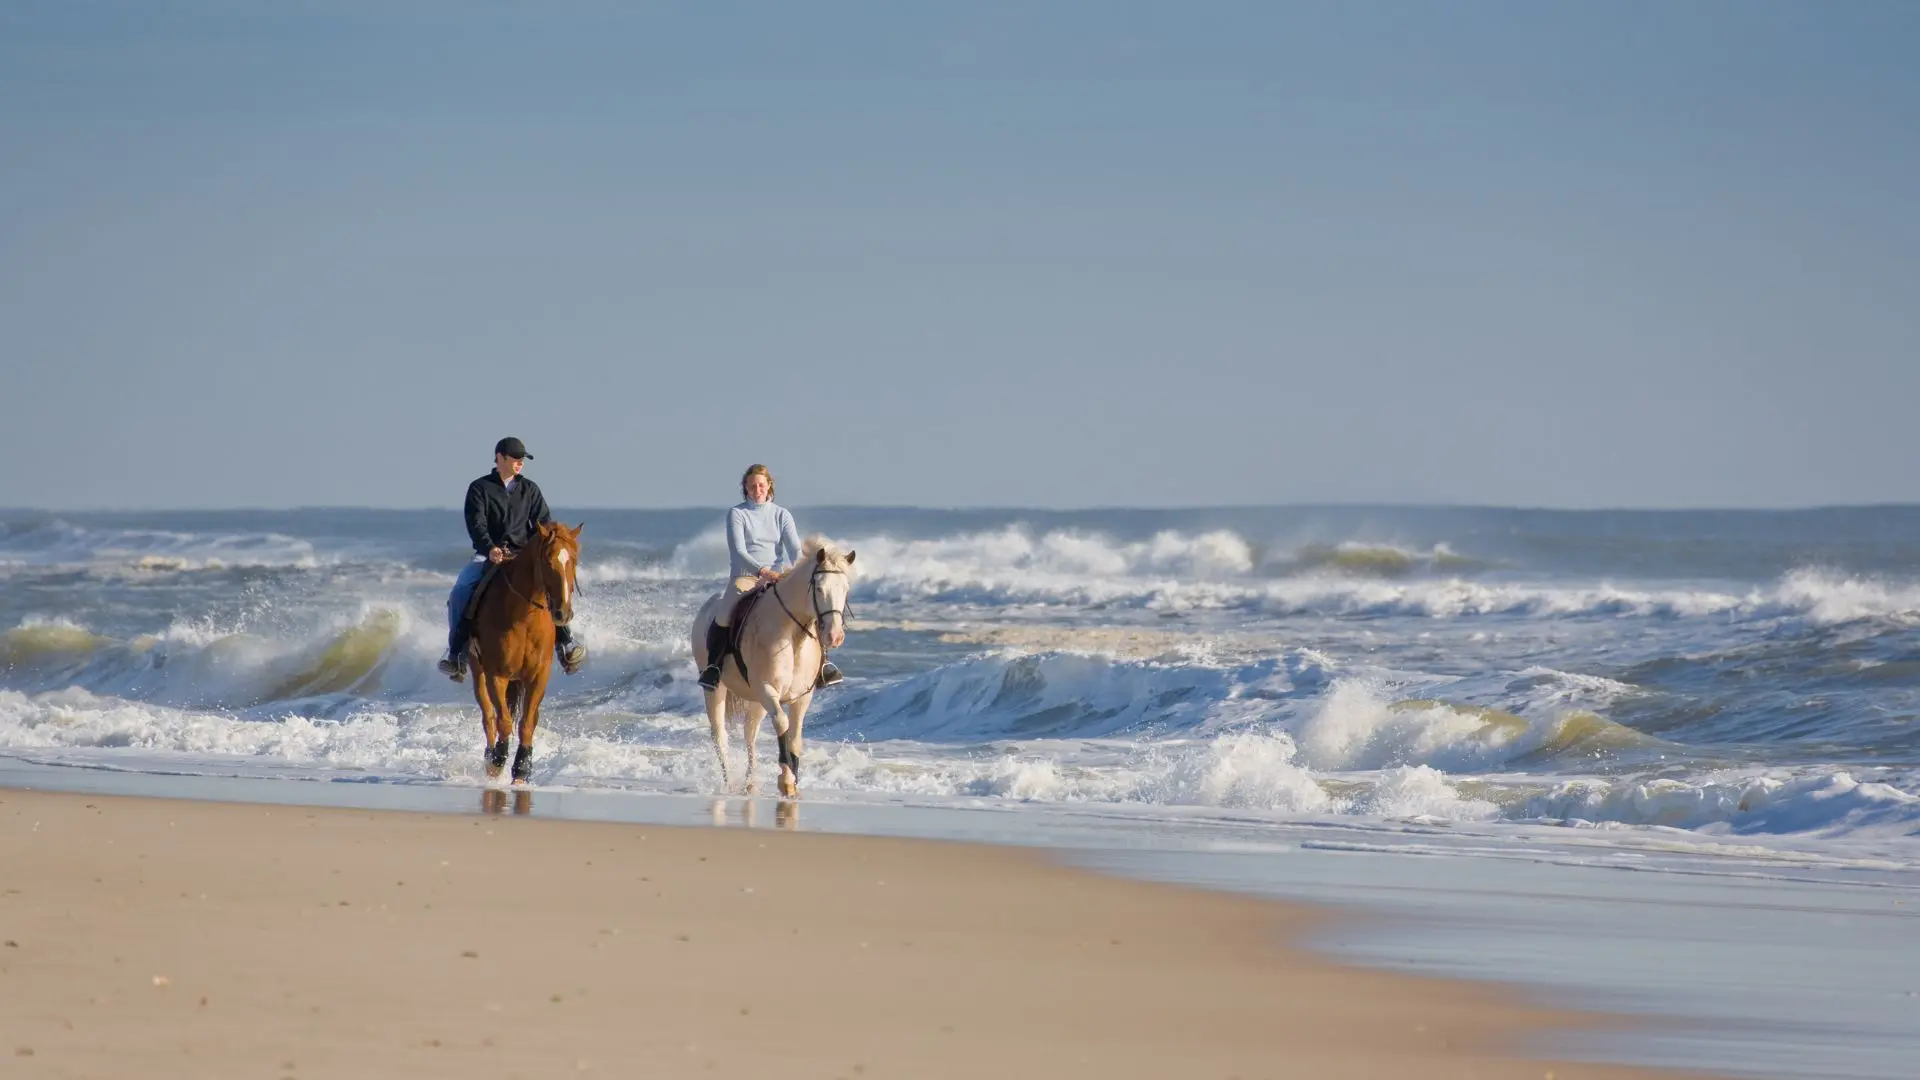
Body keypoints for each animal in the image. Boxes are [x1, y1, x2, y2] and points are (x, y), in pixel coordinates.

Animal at [469, 520, 583, 785]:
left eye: (574, 559)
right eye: (548, 562)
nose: (563, 613)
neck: (523, 617)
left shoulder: (537, 676)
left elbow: (527, 723)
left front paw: (522, 769)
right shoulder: (497, 675)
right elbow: (503, 720)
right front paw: (497, 761)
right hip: (477, 670)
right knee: (488, 717)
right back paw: (490, 757)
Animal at [690, 538, 854, 797]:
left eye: (845, 589)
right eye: (819, 589)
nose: (835, 636)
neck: (793, 636)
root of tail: (708, 606)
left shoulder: (802, 697)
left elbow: (795, 737)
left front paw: (793, 783)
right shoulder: (768, 690)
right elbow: (783, 725)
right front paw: (786, 779)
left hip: (756, 701)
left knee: (750, 734)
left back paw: (751, 784)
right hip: (716, 690)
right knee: (720, 736)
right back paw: (729, 784)